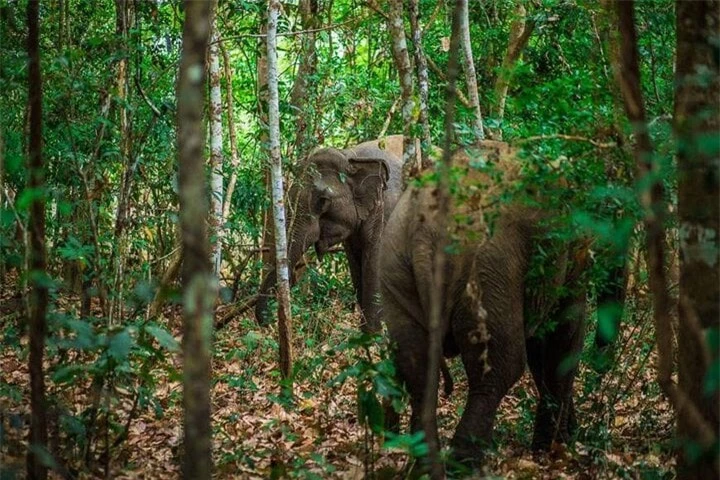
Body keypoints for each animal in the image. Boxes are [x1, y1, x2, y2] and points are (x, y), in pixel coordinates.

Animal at [256, 133, 410, 332]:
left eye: (323, 201)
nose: (268, 323)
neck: (350, 156)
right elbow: (356, 264)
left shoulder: (387, 209)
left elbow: (375, 264)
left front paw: (373, 336)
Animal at [380, 141, 592, 474]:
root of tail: (424, 232)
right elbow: (564, 334)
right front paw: (558, 452)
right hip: (486, 271)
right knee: (500, 368)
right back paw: (463, 468)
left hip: (395, 266)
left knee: (416, 366)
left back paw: (426, 470)